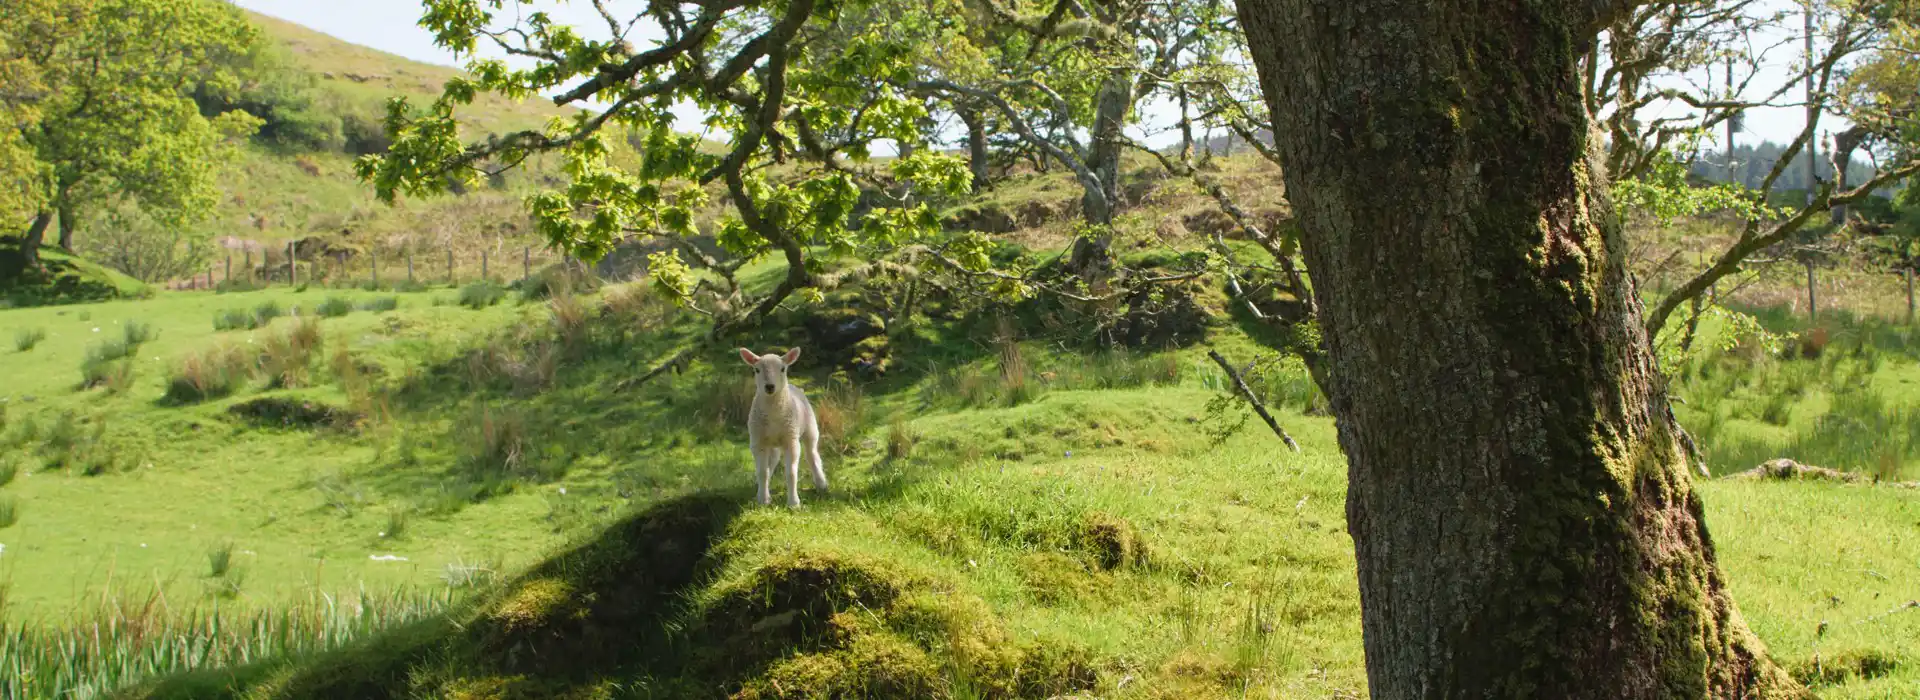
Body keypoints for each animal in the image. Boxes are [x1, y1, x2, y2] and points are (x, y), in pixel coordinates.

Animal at [733, 345, 825, 506]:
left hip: (810, 429)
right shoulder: (758, 442)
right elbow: (762, 472)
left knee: (812, 455)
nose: (769, 387)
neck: (773, 414)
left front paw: (794, 502)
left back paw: (821, 483)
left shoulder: (791, 440)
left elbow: (791, 473)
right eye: (756, 370)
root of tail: (795, 387)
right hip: (772, 443)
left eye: (783, 369)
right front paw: (763, 499)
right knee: (772, 462)